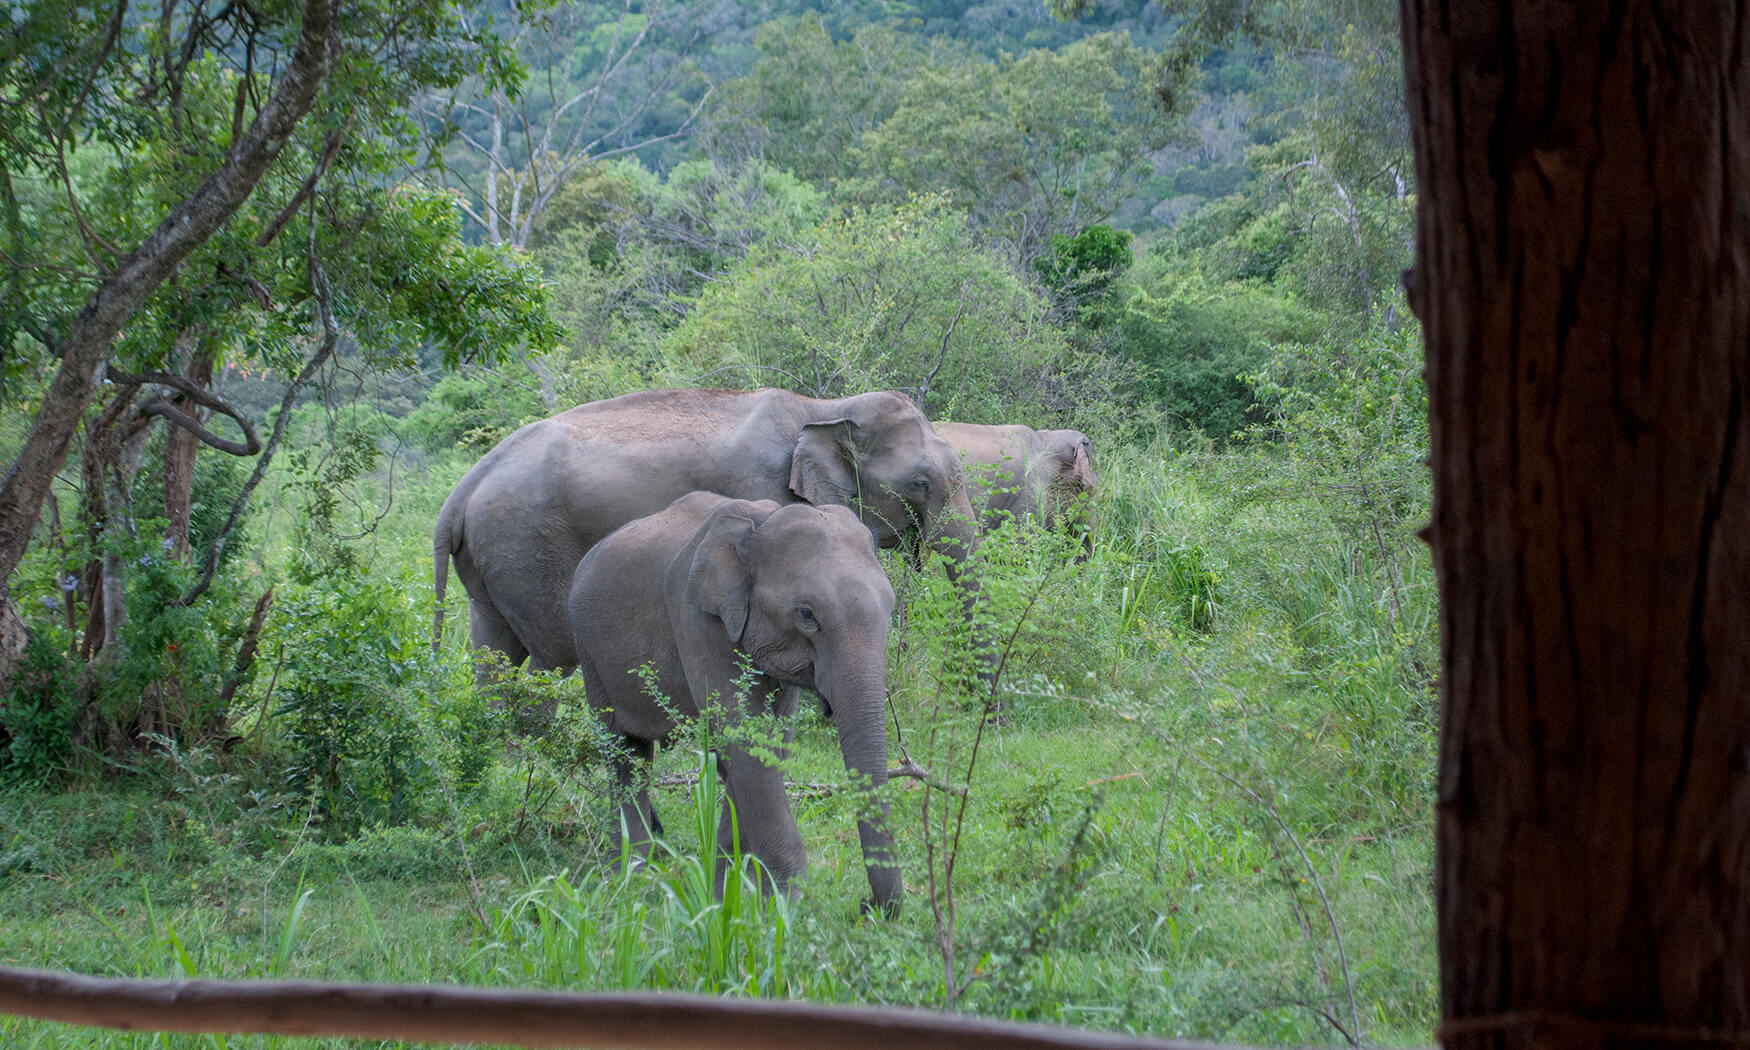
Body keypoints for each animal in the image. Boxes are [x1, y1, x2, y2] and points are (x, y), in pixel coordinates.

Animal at [430, 385, 980, 682]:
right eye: (920, 483)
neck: (823, 408)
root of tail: (464, 487)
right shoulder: (763, 493)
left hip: (491, 565)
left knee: (495, 655)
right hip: (525, 551)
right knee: (550, 659)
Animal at [567, 493, 903, 910]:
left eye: (891, 606)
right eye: (807, 614)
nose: (867, 904)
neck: (760, 523)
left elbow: (765, 743)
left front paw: (730, 898)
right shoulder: (695, 619)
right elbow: (745, 739)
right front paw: (784, 905)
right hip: (588, 651)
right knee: (622, 750)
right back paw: (628, 880)